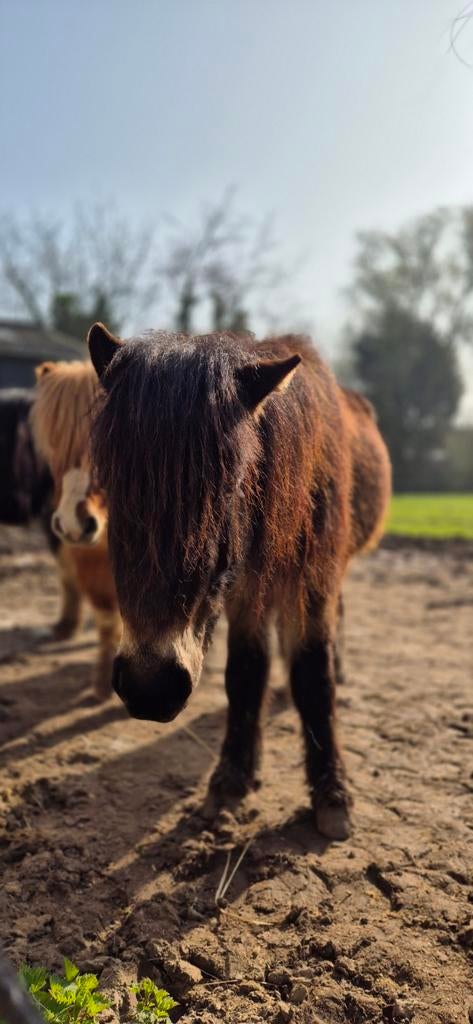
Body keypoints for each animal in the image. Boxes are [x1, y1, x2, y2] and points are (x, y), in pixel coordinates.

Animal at [88, 323, 391, 838]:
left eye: (230, 486)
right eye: (113, 486)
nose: (151, 688)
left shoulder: (313, 581)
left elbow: (313, 674)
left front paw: (332, 794)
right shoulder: (247, 591)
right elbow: (246, 672)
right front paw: (232, 778)